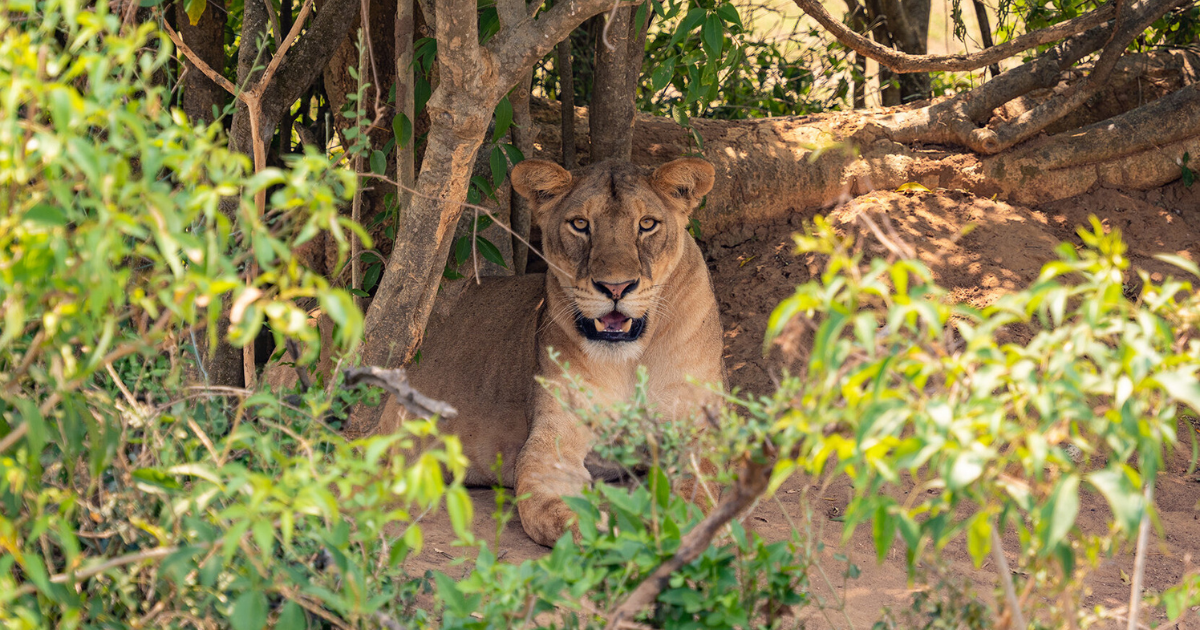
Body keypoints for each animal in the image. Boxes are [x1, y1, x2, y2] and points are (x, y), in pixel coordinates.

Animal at [378, 157, 725, 546]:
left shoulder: (700, 429)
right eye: (580, 224)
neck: (629, 359)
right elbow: (549, 511)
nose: (615, 287)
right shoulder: (552, 440)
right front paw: (606, 537)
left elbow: (697, 492)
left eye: (647, 224)